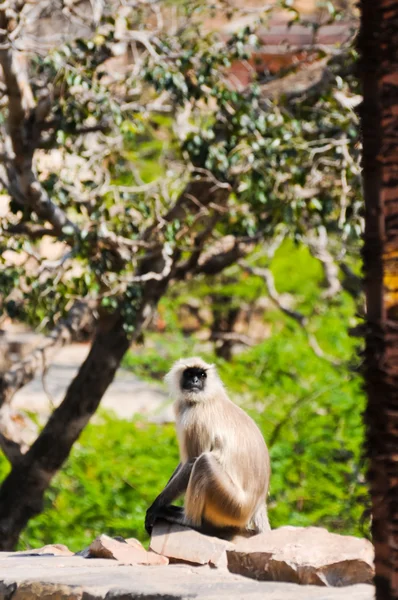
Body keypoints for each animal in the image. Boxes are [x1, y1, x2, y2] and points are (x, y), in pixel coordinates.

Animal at [145, 356, 272, 540]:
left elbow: (191, 462)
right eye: (189, 373)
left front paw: (155, 508)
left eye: (201, 375)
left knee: (204, 461)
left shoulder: (195, 417)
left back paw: (189, 520)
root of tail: (259, 505)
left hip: (234, 506)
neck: (208, 397)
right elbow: (185, 463)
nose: (195, 381)